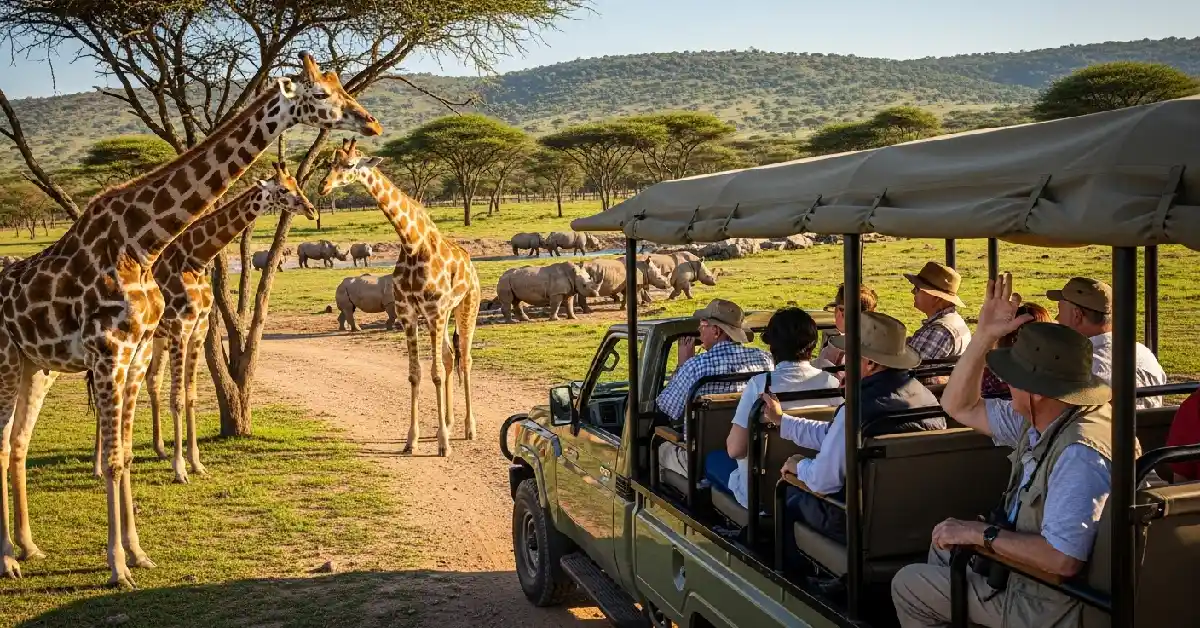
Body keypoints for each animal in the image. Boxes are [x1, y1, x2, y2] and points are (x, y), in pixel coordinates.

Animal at [92, 162, 316, 484]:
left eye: (298, 185)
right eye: (284, 190)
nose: (311, 209)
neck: (195, 257)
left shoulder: (198, 329)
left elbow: (191, 396)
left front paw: (195, 462)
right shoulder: (179, 328)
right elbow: (177, 397)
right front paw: (180, 469)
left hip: (152, 340)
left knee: (149, 381)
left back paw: (155, 449)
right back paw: (99, 466)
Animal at [319, 139, 480, 457]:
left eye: (350, 164)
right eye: (329, 163)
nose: (323, 186)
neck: (412, 243)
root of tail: (471, 266)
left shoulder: (433, 310)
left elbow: (436, 372)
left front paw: (443, 444)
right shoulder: (409, 313)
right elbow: (415, 373)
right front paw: (412, 440)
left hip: (466, 307)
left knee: (464, 359)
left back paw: (469, 429)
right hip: (444, 316)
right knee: (450, 355)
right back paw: (449, 423)